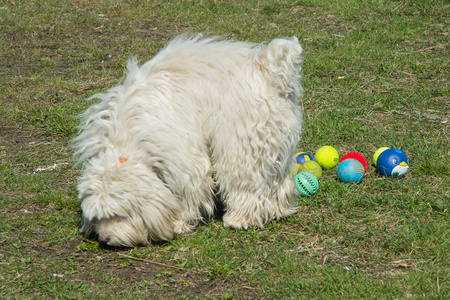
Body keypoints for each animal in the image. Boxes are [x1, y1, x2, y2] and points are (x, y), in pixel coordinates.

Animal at [73, 35, 302, 246]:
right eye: (98, 217)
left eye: (119, 214)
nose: (103, 238)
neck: (125, 140)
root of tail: (267, 67)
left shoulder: (181, 157)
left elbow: (187, 190)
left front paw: (179, 222)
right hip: (273, 142)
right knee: (278, 180)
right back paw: (277, 210)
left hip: (241, 143)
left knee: (244, 182)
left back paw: (239, 218)